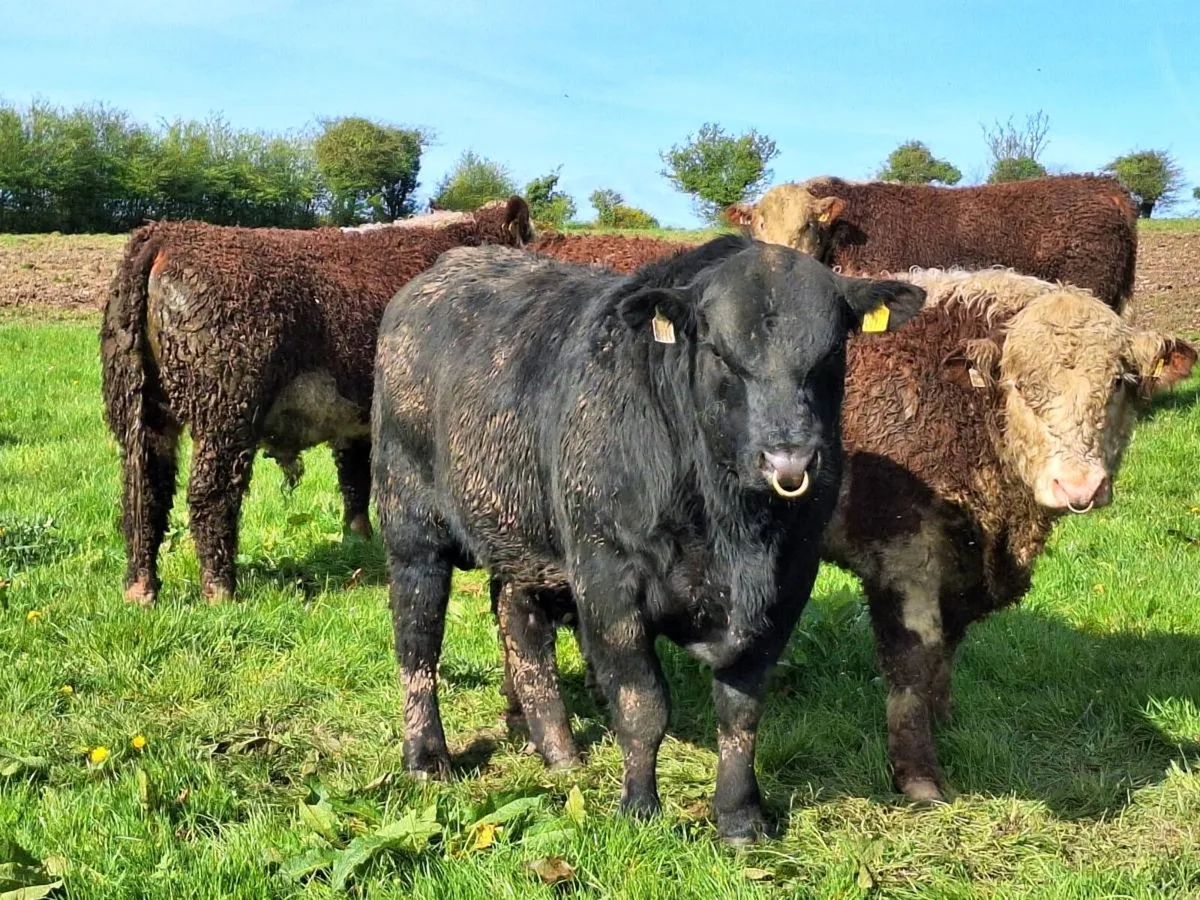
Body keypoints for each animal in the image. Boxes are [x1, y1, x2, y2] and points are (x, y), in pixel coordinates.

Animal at [100, 198, 533, 607]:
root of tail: (164, 234)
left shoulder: (357, 416)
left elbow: (354, 475)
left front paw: (359, 540)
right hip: (225, 413)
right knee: (210, 493)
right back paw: (221, 590)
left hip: (142, 413)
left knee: (144, 493)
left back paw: (140, 589)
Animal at [371, 235, 925, 842]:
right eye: (718, 352)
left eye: (830, 352)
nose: (789, 461)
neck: (732, 531)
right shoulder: (608, 577)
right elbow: (642, 705)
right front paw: (639, 808)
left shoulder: (788, 585)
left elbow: (740, 707)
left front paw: (741, 818)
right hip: (411, 524)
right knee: (418, 638)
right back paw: (427, 757)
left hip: (521, 531)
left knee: (520, 624)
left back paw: (556, 750)